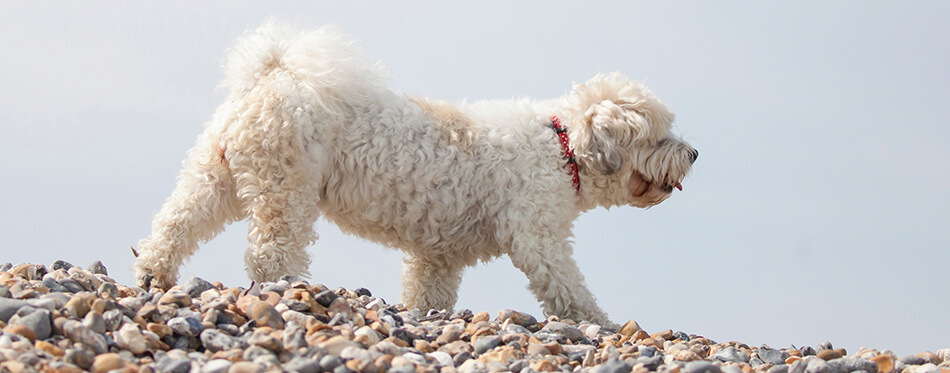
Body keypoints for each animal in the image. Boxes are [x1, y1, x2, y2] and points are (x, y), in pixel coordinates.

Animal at [132, 24, 700, 326]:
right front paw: (602, 324)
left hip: (218, 175)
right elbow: (569, 288)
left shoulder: (438, 255)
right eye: (659, 135)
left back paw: (153, 275)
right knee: (271, 251)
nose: (695, 153)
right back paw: (295, 292)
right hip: (284, 188)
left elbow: (429, 294)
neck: (562, 145)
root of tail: (275, 72)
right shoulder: (538, 237)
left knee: (175, 222)